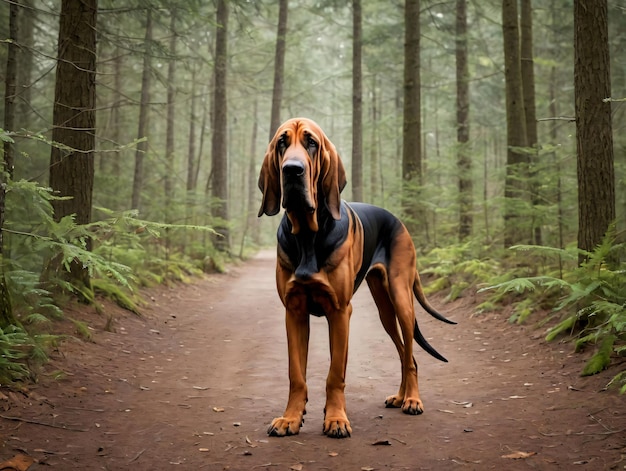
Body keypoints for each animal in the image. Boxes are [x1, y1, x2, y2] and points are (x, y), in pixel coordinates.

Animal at [256, 117, 450, 438]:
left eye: (311, 142)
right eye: (282, 142)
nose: (292, 170)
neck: (308, 234)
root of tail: (398, 220)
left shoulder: (339, 312)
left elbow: (335, 374)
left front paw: (335, 418)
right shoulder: (294, 312)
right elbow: (296, 374)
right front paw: (291, 417)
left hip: (401, 299)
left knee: (410, 355)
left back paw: (412, 399)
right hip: (384, 309)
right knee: (403, 353)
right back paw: (399, 396)